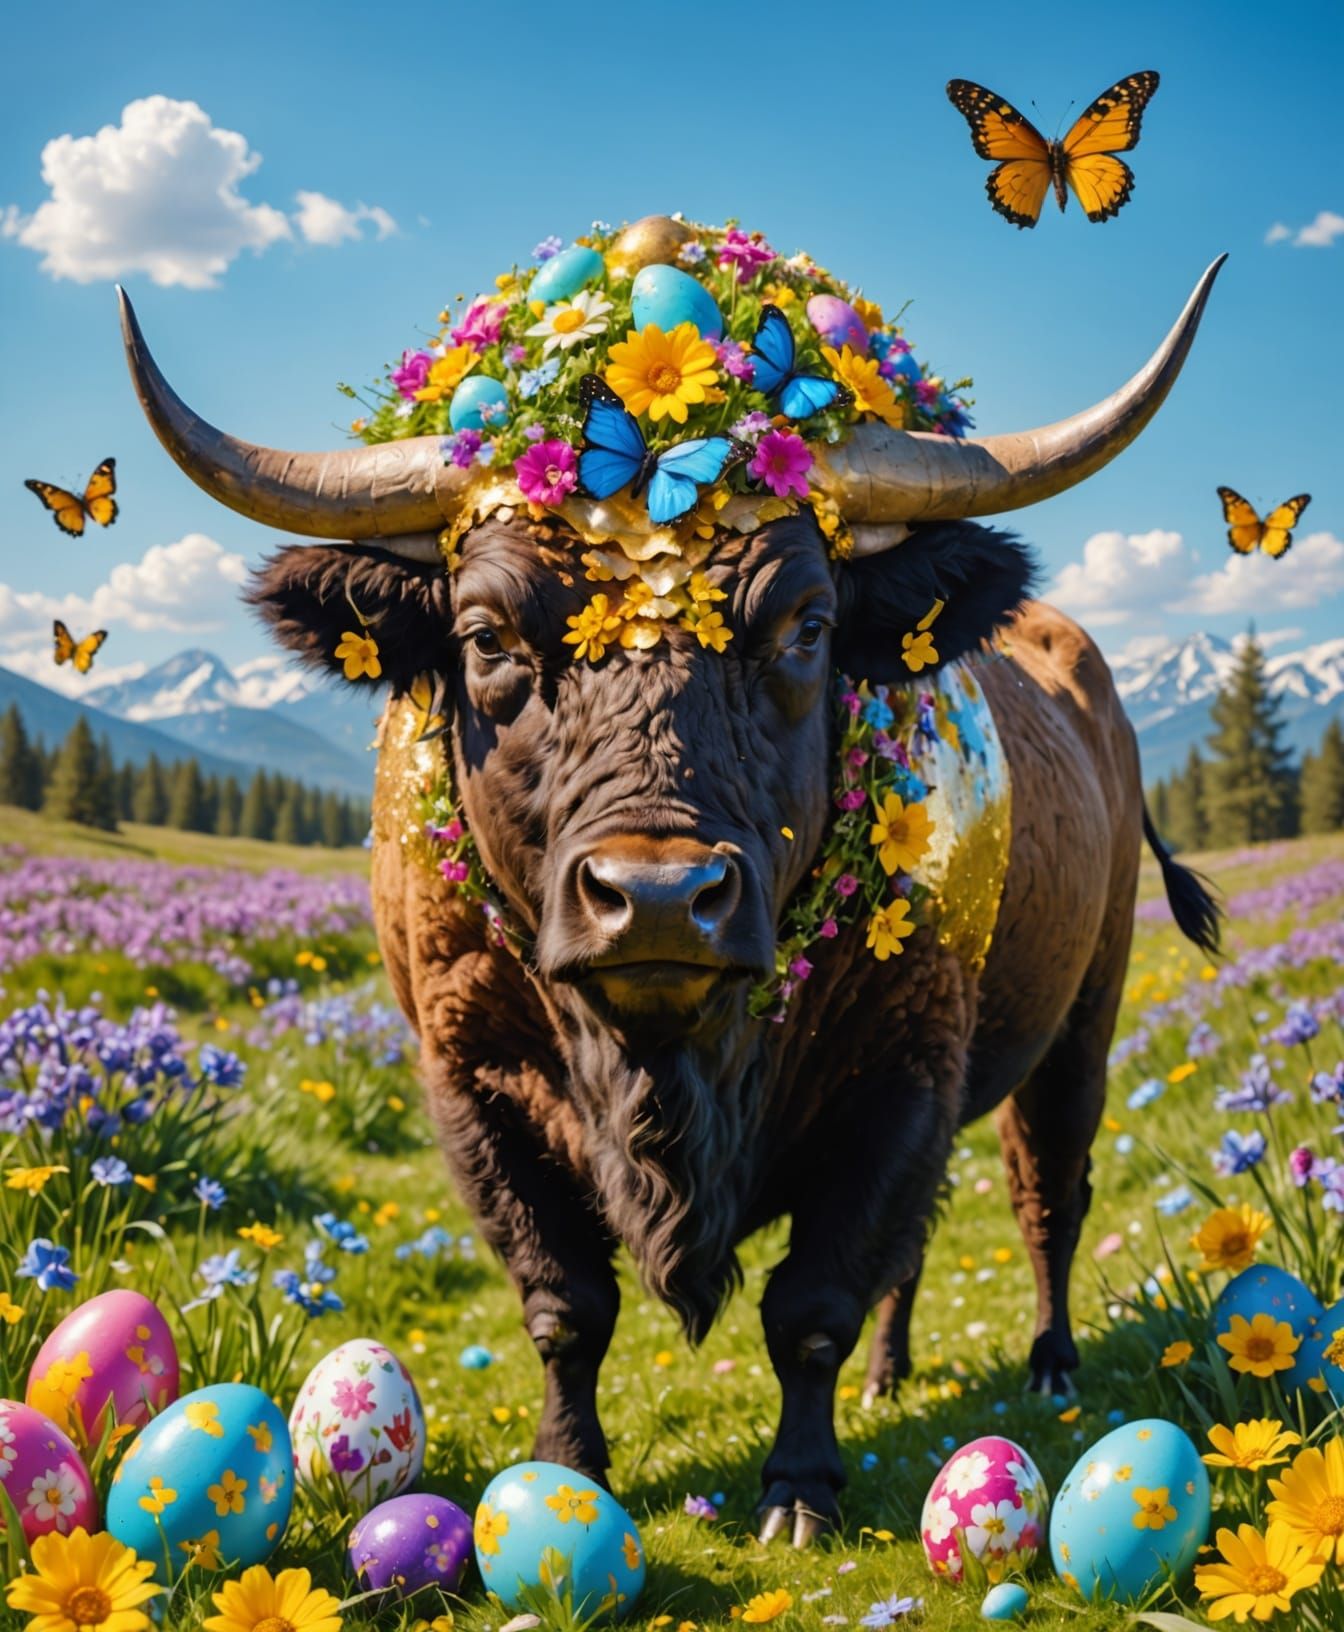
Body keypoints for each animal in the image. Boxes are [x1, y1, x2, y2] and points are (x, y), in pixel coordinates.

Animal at [119, 241, 1222, 1546]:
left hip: (1079, 1025)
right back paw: (898, 1372)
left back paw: (1051, 1367)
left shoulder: (902, 1071)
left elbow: (812, 1301)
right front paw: (572, 1470)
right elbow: (565, 1302)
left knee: (1047, 1187)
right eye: (486, 637)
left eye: (807, 626)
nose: (654, 896)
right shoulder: (473, 1083)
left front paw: (798, 1495)